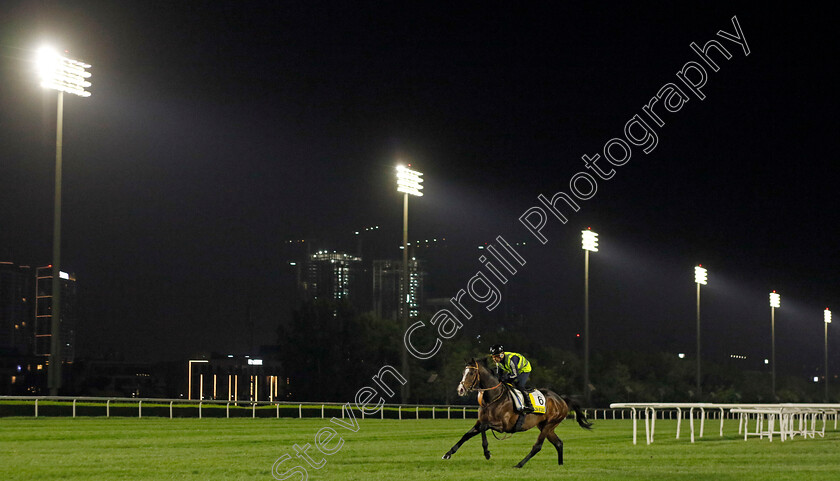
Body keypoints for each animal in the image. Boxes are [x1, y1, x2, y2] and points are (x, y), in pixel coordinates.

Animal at [440, 358, 592, 466]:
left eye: (471, 373)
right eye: (463, 373)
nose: (460, 389)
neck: (493, 398)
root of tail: (561, 399)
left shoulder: (503, 425)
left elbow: (484, 428)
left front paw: (487, 452)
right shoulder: (480, 421)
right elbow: (466, 435)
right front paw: (448, 453)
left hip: (550, 423)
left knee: (537, 446)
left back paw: (519, 464)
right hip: (545, 426)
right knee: (559, 443)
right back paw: (560, 465)